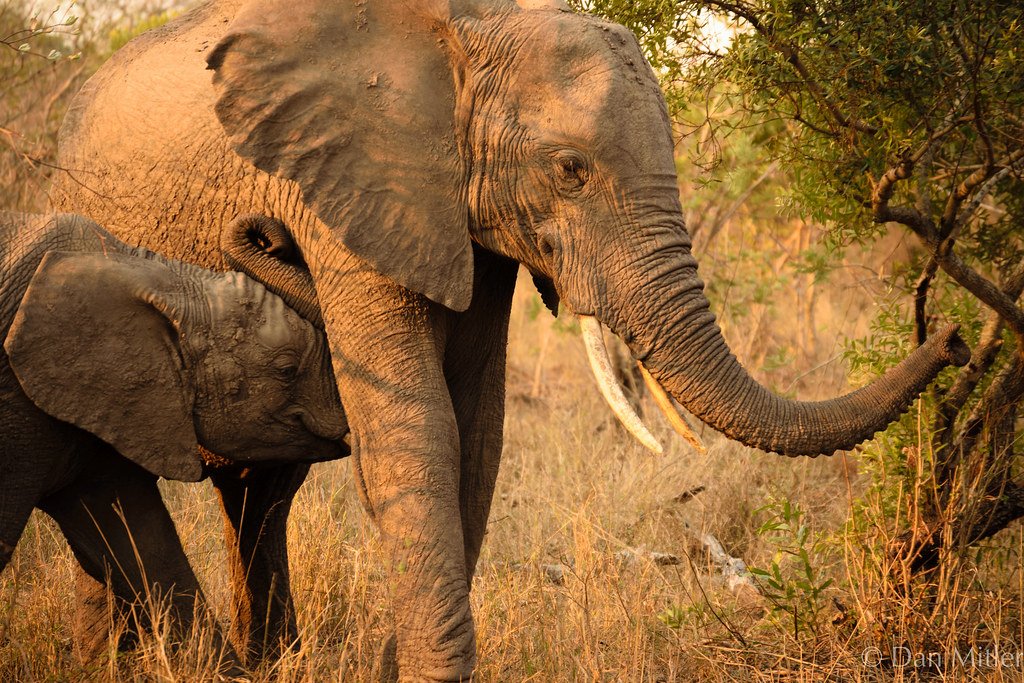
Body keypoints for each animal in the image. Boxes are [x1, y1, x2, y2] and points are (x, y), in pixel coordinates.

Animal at [51, 0, 971, 677]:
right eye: (570, 169)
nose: (959, 338)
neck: (471, 28)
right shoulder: (343, 185)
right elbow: (420, 426)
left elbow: (477, 428)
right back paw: (117, 663)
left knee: (260, 491)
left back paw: (260, 662)